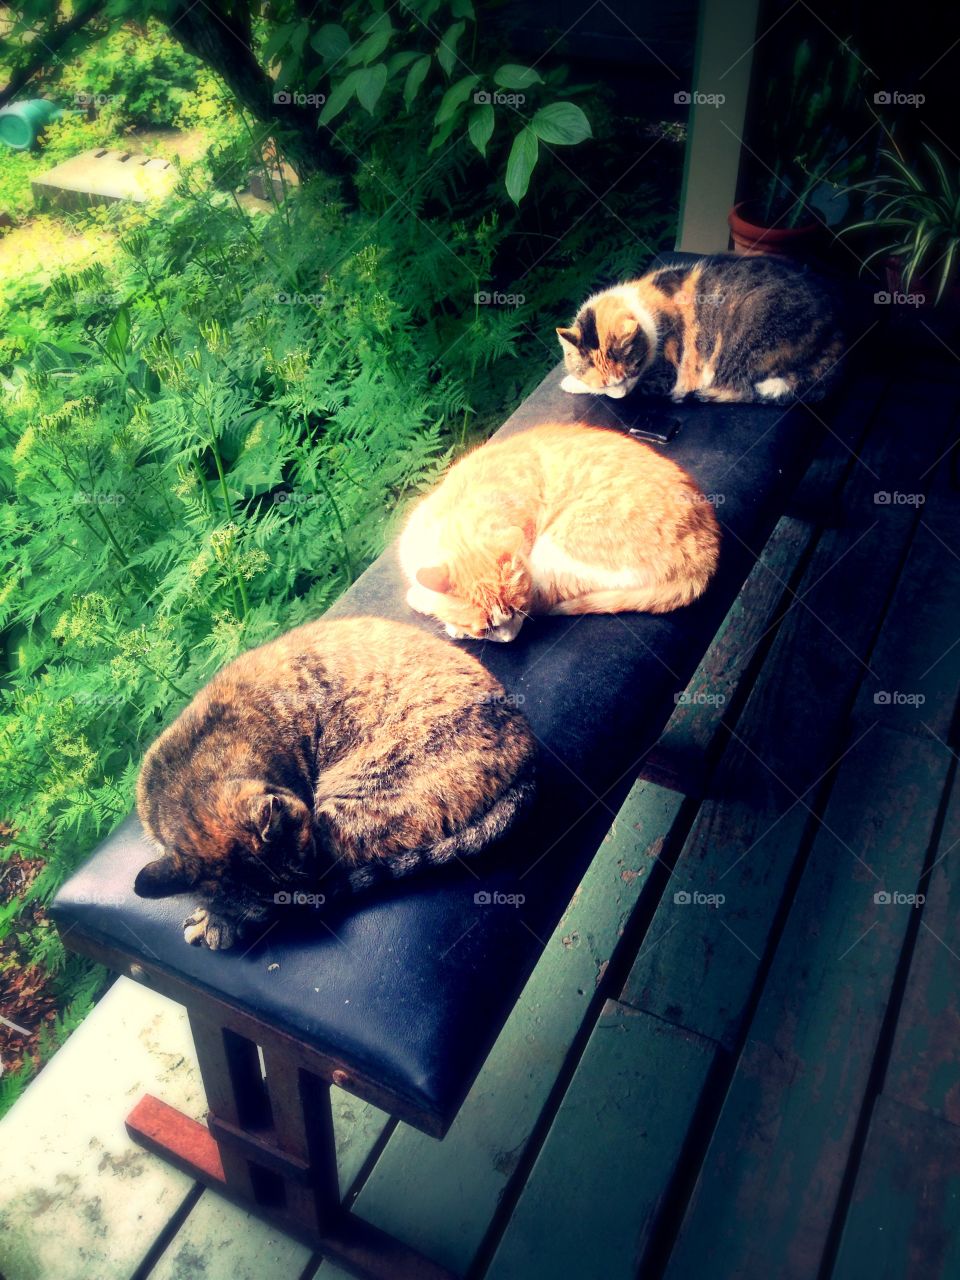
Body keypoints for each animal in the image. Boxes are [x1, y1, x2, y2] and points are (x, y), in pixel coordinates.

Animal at [132, 619, 537, 952]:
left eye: (308, 870)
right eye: (274, 910)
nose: (313, 905)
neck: (185, 782)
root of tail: (529, 743)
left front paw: (215, 922)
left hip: (352, 804)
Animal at [399, 422, 721, 645]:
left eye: (518, 610)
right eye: (486, 628)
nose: (511, 639)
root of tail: (707, 554)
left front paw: (441, 616)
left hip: (557, 546)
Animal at [560, 252, 844, 401]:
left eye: (632, 372)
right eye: (607, 384)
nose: (619, 394)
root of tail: (836, 325)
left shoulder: (662, 377)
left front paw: (569, 382)